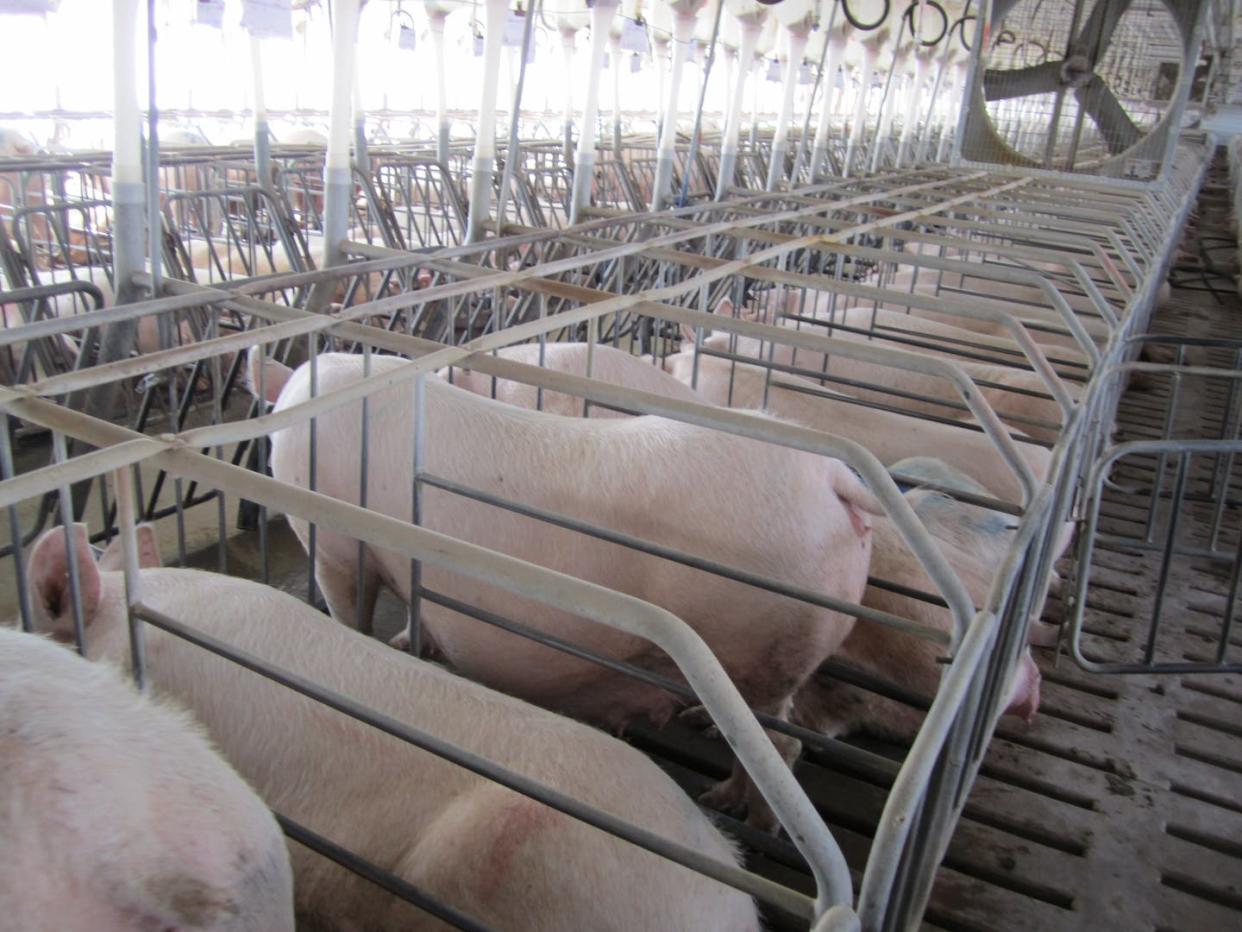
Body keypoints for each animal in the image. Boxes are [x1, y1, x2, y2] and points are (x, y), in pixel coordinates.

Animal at [247, 347, 879, 825]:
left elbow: (351, 611)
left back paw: (734, 810)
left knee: (783, 749)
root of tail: (833, 478)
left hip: (759, 646)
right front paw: (409, 644)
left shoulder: (334, 543)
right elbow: (415, 608)